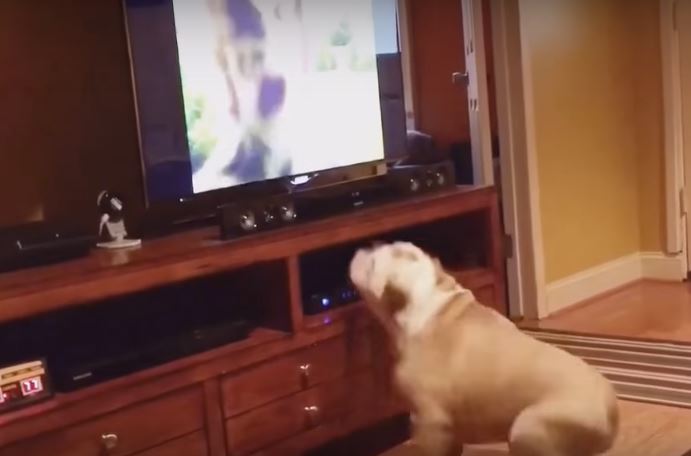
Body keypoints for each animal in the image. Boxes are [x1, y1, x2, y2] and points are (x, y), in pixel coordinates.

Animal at [348, 240, 620, 454]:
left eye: (372, 263)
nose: (365, 246)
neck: (426, 299)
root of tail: (610, 412)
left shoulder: (430, 422)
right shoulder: (448, 430)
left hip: (526, 427)